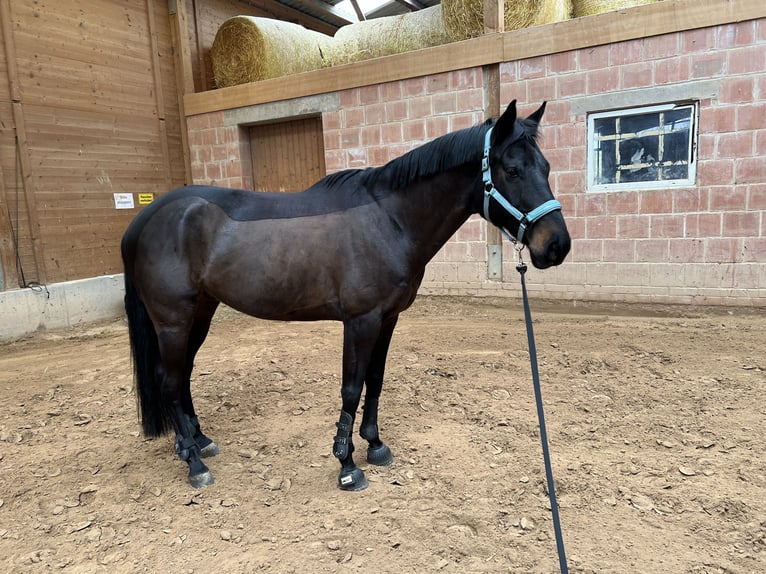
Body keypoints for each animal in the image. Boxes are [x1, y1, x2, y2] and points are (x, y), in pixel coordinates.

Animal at [121, 99, 568, 490]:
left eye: (546, 167)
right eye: (512, 170)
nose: (557, 246)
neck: (388, 219)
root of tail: (147, 218)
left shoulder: (388, 318)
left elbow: (375, 378)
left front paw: (375, 444)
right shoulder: (360, 320)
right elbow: (351, 387)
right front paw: (347, 464)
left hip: (200, 312)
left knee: (180, 376)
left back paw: (197, 442)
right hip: (173, 321)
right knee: (169, 379)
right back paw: (194, 463)